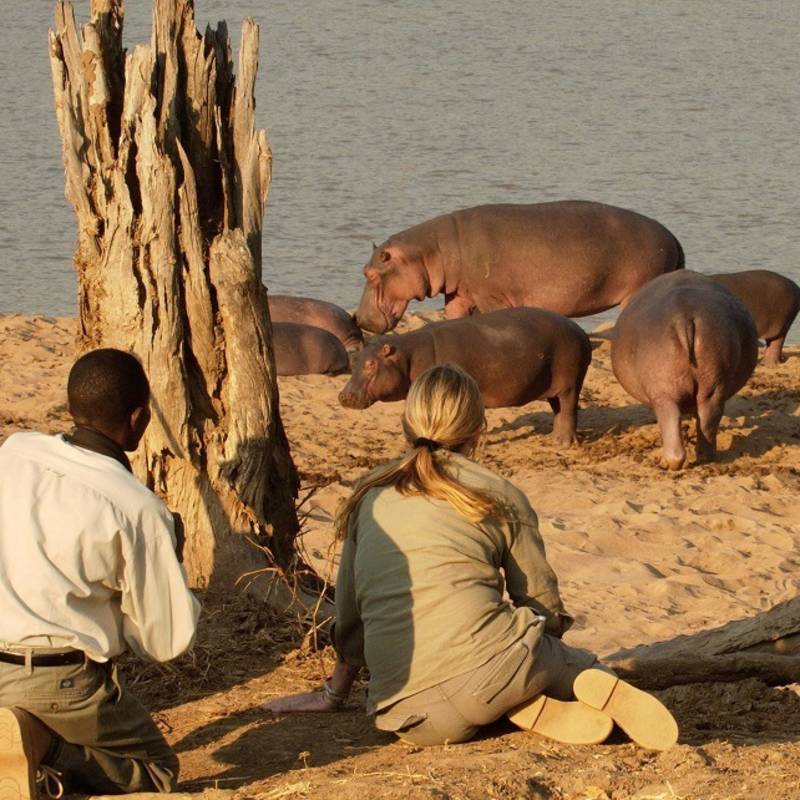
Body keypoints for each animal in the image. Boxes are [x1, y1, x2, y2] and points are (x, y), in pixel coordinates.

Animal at [338, 308, 592, 446]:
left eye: (371, 364)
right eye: (355, 359)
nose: (343, 396)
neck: (406, 356)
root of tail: (580, 330)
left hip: (570, 383)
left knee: (569, 409)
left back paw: (565, 444)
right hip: (553, 386)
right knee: (559, 410)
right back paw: (554, 438)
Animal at [354, 205, 684, 336]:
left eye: (370, 274)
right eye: (363, 268)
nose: (358, 318)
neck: (432, 250)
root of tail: (675, 239)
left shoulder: (490, 294)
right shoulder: (460, 293)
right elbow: (455, 315)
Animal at [608, 272, 760, 468]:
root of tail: (684, 314)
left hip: (663, 390)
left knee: (671, 421)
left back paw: (666, 463)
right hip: (713, 385)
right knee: (708, 418)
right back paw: (705, 457)